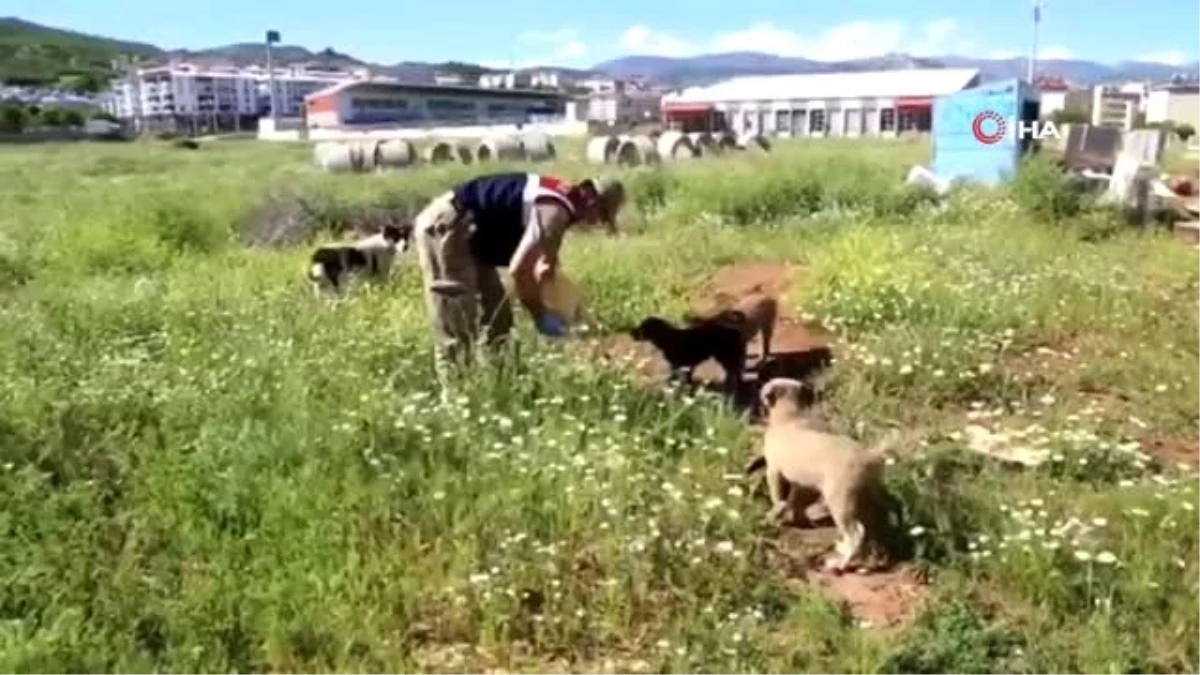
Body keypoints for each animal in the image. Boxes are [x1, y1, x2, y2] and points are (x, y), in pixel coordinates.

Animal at [748, 374, 902, 569]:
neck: (791, 416)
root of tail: (870, 456)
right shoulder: (802, 484)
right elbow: (794, 500)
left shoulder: (774, 470)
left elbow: (778, 497)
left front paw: (775, 514)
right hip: (867, 495)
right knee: (874, 525)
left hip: (840, 500)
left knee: (856, 533)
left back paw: (841, 564)